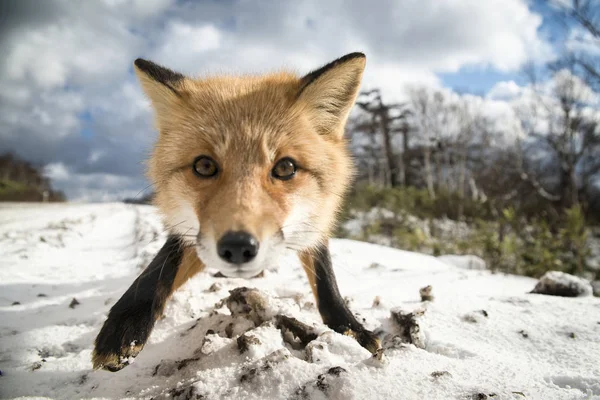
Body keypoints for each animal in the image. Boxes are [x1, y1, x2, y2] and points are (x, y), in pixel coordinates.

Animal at [91, 52, 382, 372]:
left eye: (286, 167)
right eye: (204, 166)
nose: (239, 247)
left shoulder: (316, 219)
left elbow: (325, 278)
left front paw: (350, 329)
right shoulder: (192, 234)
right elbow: (158, 270)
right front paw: (126, 326)